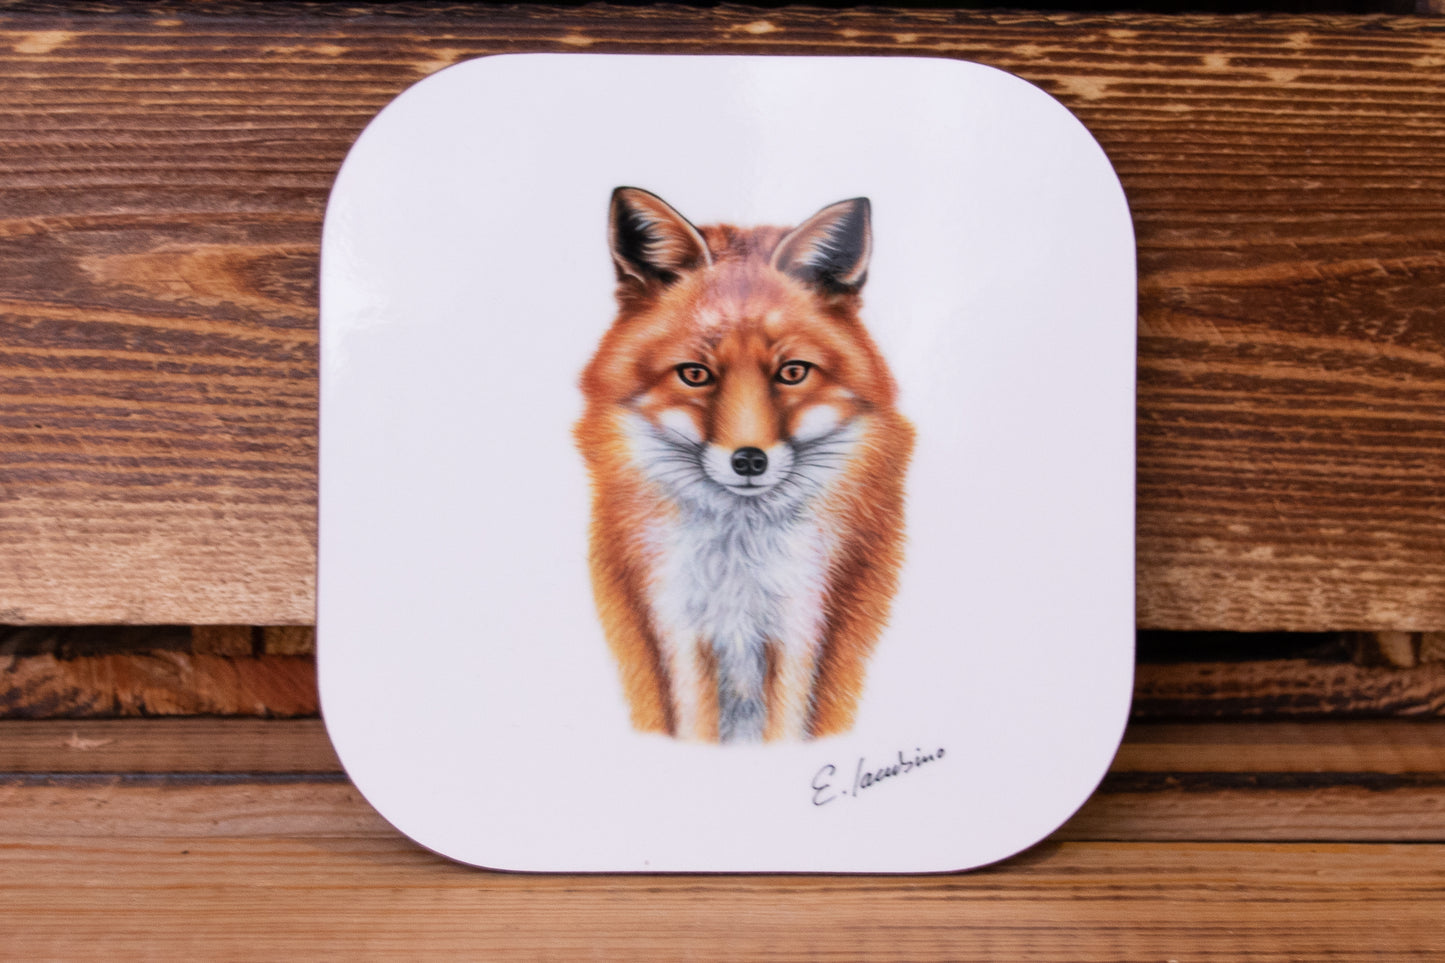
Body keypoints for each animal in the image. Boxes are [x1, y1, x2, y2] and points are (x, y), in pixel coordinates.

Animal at [575, 187, 914, 744]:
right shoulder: (677, 634)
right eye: (695, 374)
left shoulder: (804, 631)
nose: (750, 461)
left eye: (792, 372)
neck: (740, 572)